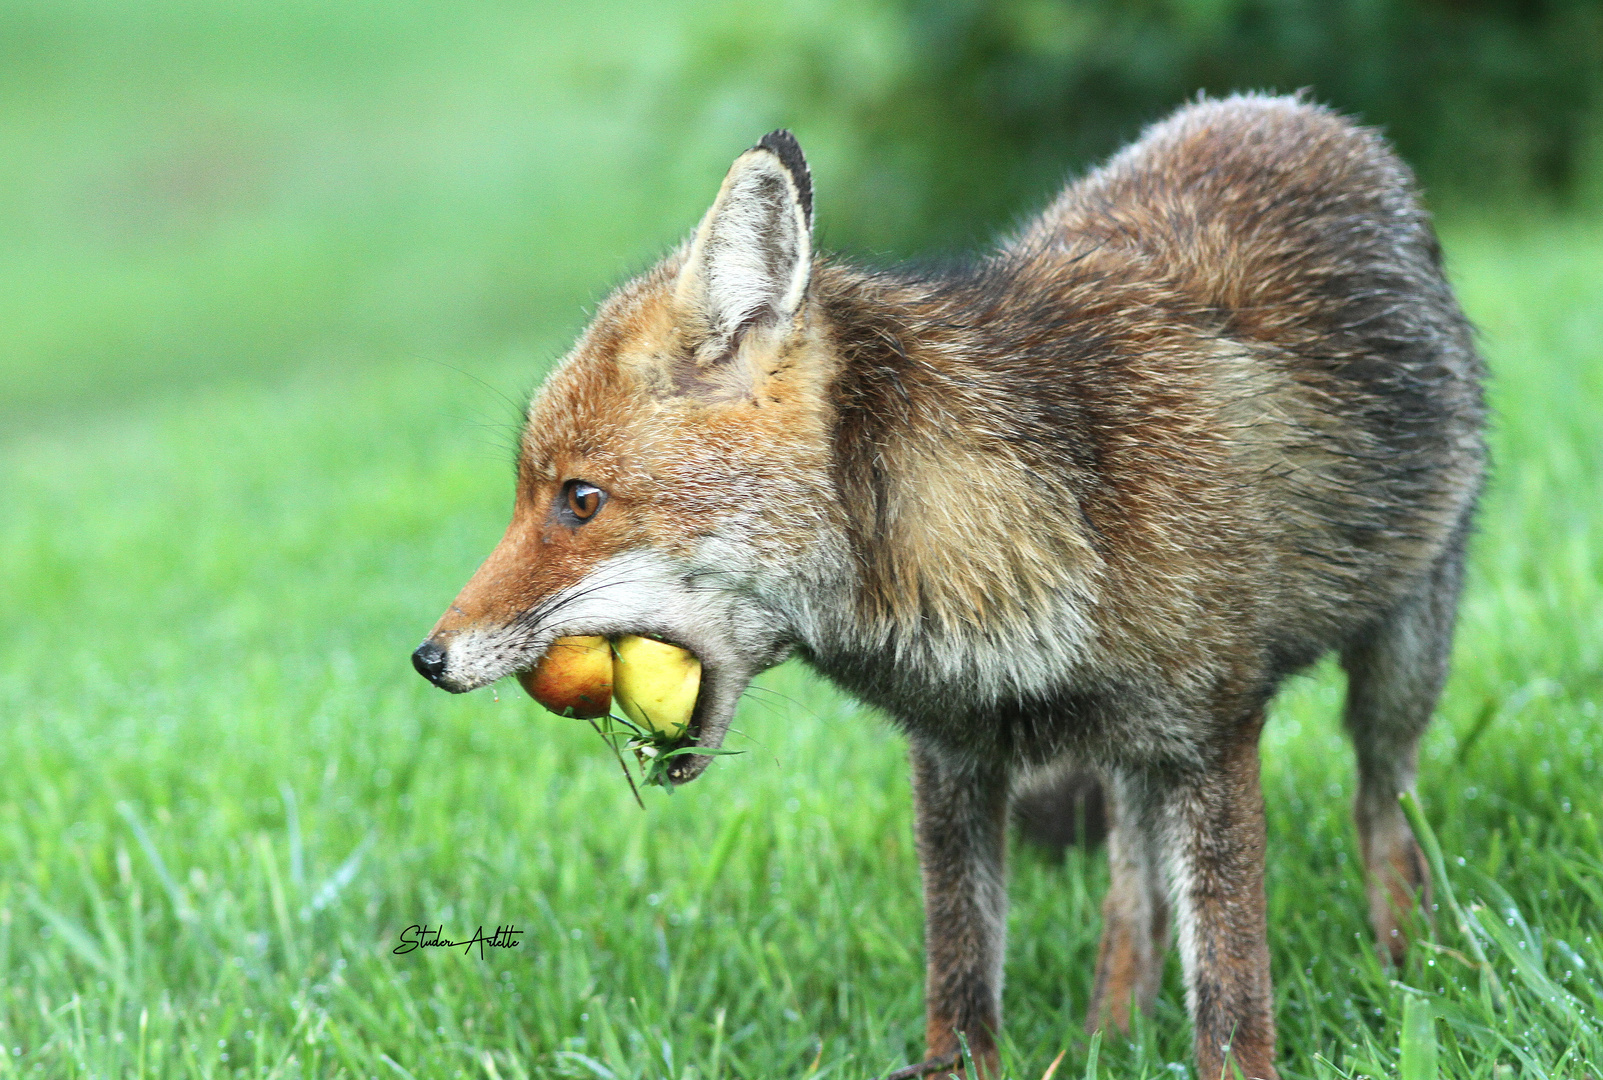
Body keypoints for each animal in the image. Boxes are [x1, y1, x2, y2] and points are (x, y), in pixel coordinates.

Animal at [413, 94, 1487, 1076]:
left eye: (578, 500)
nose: (427, 659)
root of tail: (1291, 111)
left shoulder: (1212, 734)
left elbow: (1229, 1001)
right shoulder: (953, 756)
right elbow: (962, 989)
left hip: (1399, 660)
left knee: (1381, 807)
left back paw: (1412, 966)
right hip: (1131, 755)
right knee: (1129, 886)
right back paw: (1111, 1032)